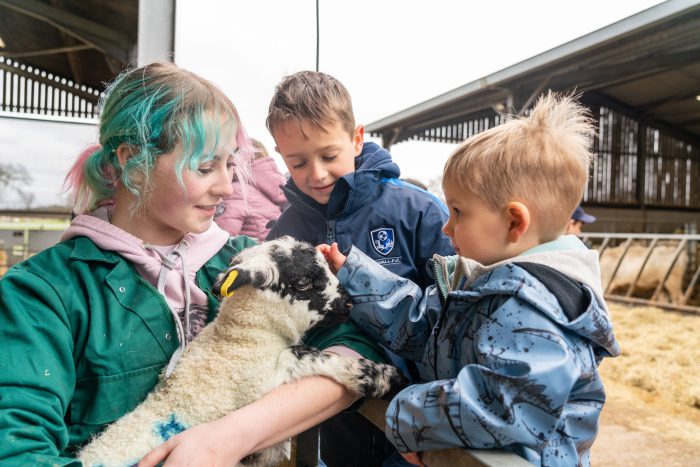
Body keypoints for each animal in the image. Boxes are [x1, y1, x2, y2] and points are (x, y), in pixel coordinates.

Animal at [78, 238, 404, 467]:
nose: (349, 303)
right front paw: (382, 377)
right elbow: (302, 354)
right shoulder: (256, 389)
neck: (238, 340)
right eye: (302, 282)